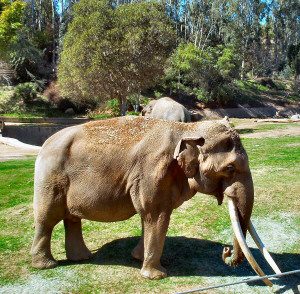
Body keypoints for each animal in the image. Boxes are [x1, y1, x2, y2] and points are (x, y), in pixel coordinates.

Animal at [31, 115, 280, 282]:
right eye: (229, 169)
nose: (226, 251)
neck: (186, 129)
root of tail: (44, 145)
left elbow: (149, 218)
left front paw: (138, 258)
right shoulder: (152, 172)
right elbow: (156, 215)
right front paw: (156, 276)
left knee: (71, 218)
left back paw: (82, 258)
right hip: (50, 180)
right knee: (46, 220)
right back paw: (46, 265)